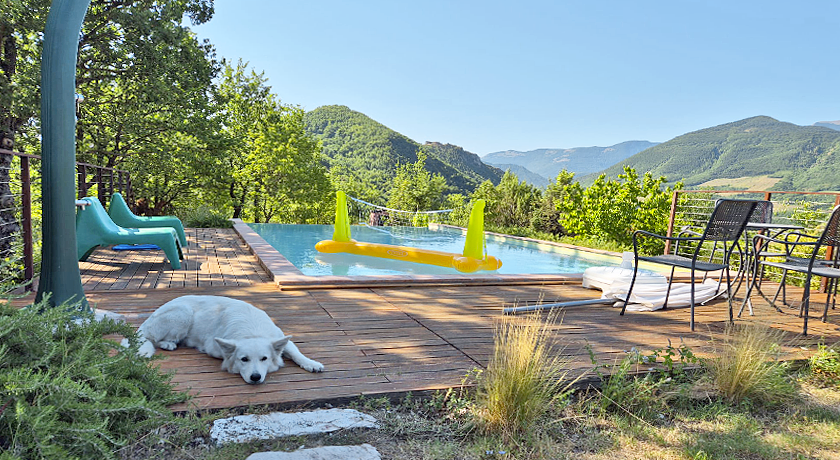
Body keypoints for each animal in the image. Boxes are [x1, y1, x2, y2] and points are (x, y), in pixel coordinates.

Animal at [127, 294, 324, 384]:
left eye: (264, 359)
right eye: (244, 359)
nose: (255, 377)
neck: (251, 331)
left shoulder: (280, 337)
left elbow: (295, 351)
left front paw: (311, 363)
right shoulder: (213, 347)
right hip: (183, 313)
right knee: (153, 338)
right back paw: (168, 343)